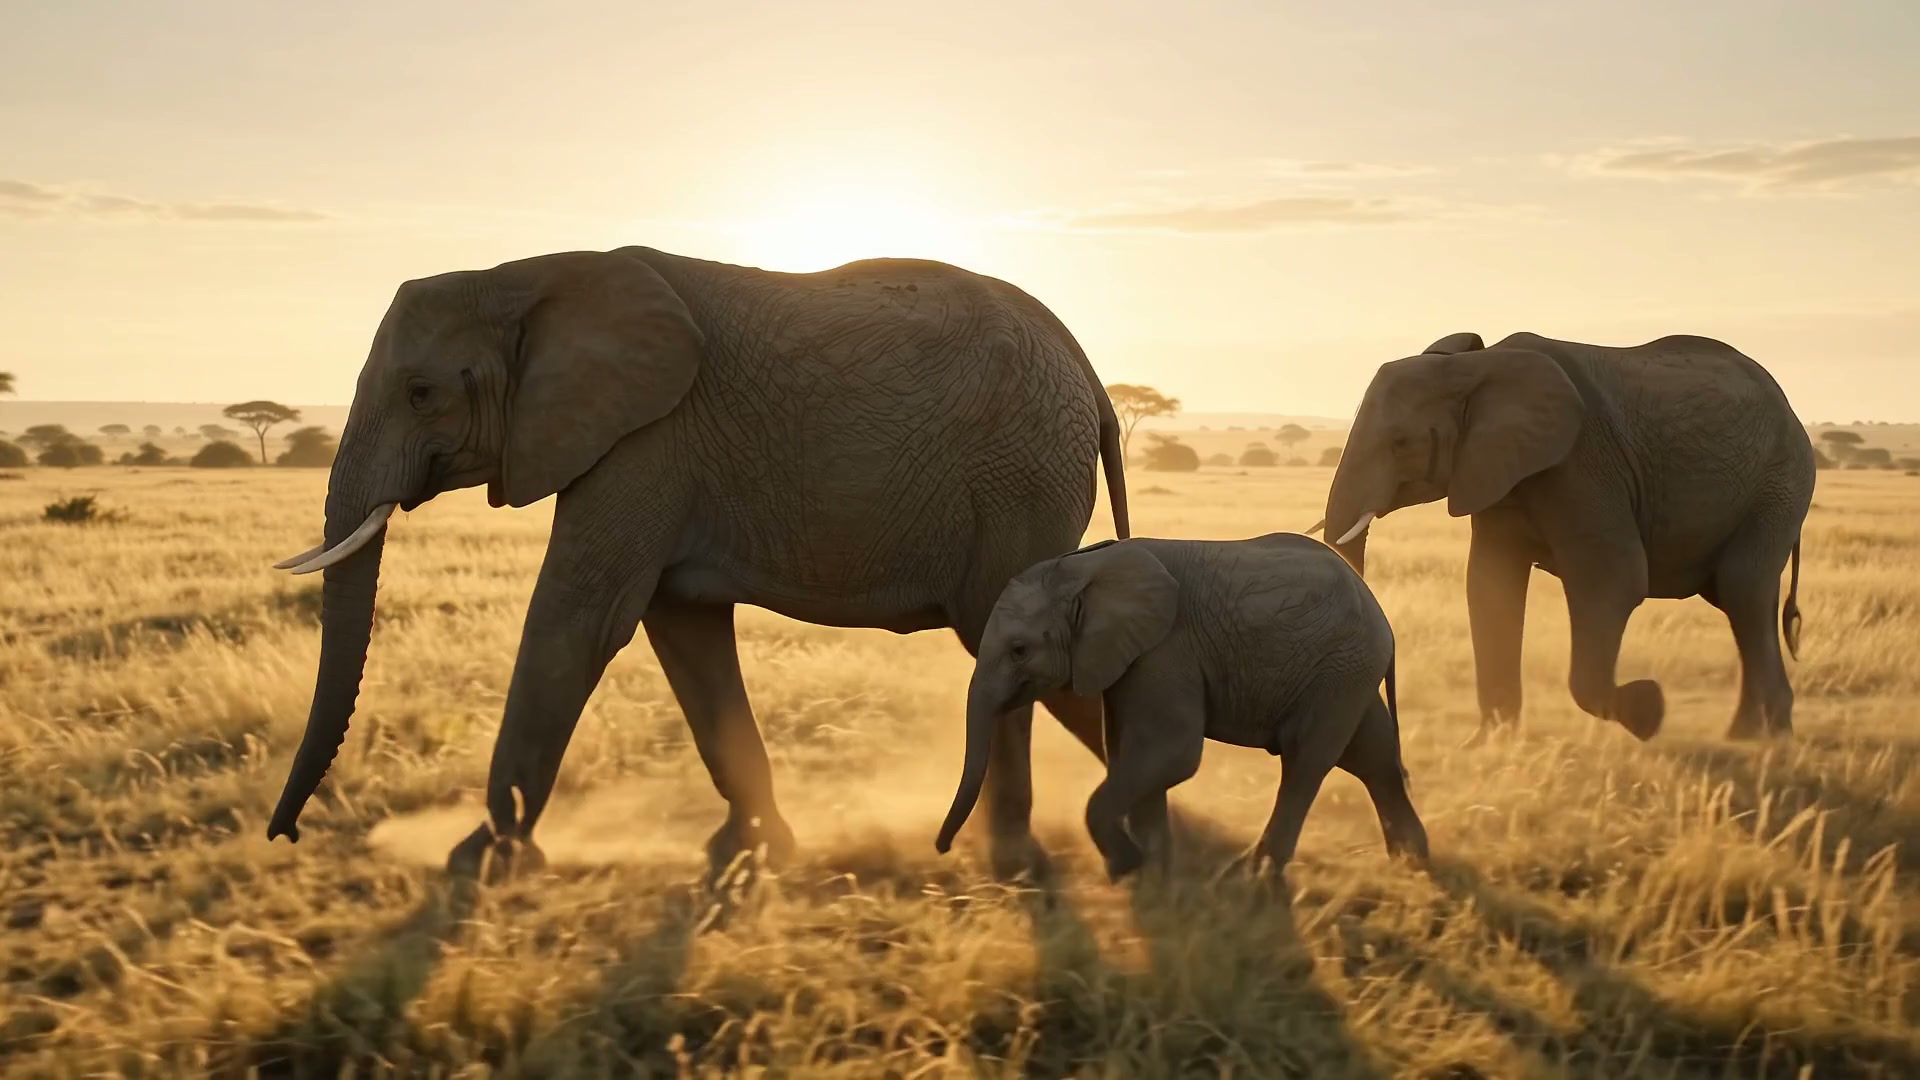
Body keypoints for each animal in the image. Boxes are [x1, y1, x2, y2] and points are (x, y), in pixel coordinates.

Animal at [263, 246, 1132, 882]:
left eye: (420, 393)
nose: (284, 835)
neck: (520, 277)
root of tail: (1090, 374)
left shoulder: (646, 443)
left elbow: (577, 622)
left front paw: (481, 861)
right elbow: (685, 638)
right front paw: (751, 852)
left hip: (1018, 479)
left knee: (1016, 649)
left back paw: (1033, 862)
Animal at [933, 534, 1429, 882]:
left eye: (1019, 650)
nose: (943, 849)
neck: (1082, 567)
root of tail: (1380, 613)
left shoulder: (1165, 651)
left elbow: (1173, 753)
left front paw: (1129, 867)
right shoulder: (1127, 662)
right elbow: (1130, 753)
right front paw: (1155, 878)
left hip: (1339, 668)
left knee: (1305, 762)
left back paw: (1253, 878)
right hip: (1349, 673)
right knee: (1374, 758)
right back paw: (1412, 866)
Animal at [1316, 331, 1813, 744]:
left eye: (1400, 443)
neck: (1477, 366)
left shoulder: (1583, 463)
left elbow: (1613, 579)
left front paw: (1649, 711)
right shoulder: (1495, 471)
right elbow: (1489, 585)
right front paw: (1490, 744)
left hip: (1780, 483)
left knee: (1742, 590)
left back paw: (1761, 738)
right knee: (1743, 600)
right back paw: (1754, 734)